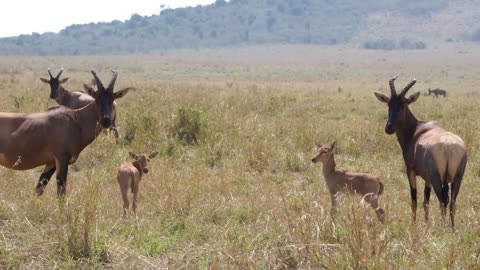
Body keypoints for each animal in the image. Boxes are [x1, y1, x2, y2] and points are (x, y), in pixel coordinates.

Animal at [0, 69, 130, 196]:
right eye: (97, 97)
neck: (75, 119)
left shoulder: (51, 163)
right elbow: (61, 192)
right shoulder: (61, 159)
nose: (106, 120)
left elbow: (39, 189)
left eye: (113, 98)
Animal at [374, 76, 466, 228]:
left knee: (443, 200)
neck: (417, 130)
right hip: (457, 177)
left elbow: (414, 200)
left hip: (437, 178)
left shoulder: (410, 170)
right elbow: (426, 201)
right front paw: (426, 224)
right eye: (389, 104)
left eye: (403, 105)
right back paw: (452, 229)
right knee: (452, 203)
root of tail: (448, 146)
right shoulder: (427, 178)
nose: (389, 128)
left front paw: (414, 225)